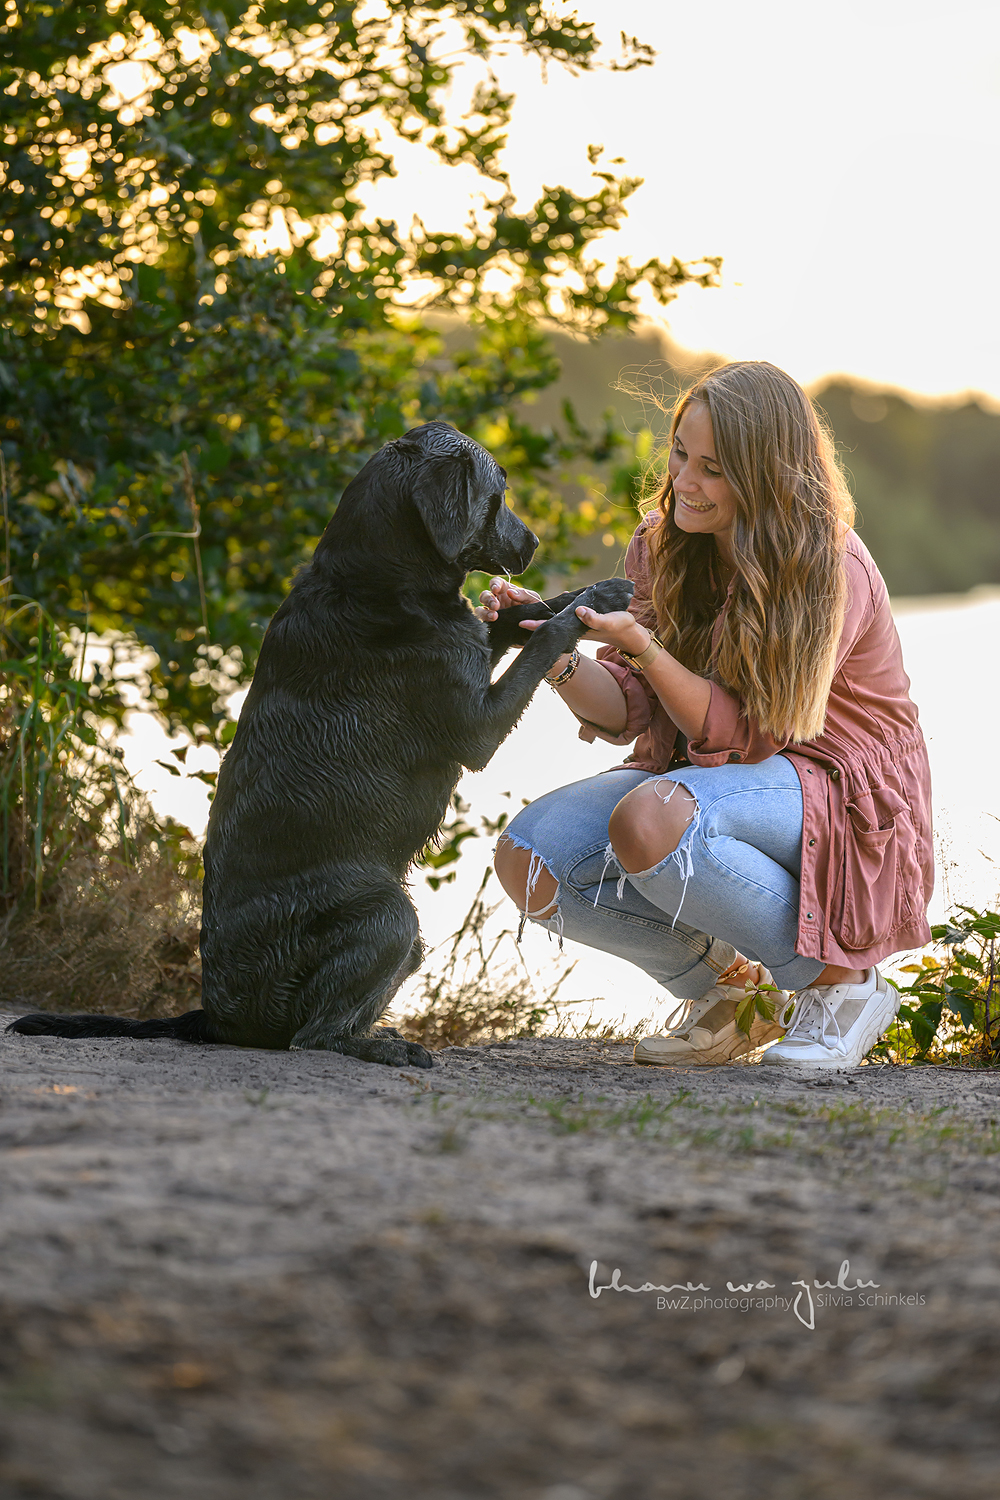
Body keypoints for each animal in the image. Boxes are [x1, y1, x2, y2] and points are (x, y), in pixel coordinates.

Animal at [7, 423, 629, 1068]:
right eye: (498, 494)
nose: (533, 542)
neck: (377, 575)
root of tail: (215, 1018)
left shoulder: (479, 639)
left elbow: (527, 614)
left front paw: (594, 591)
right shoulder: (478, 727)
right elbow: (544, 636)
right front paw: (596, 603)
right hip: (390, 916)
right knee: (314, 1037)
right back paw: (383, 1048)